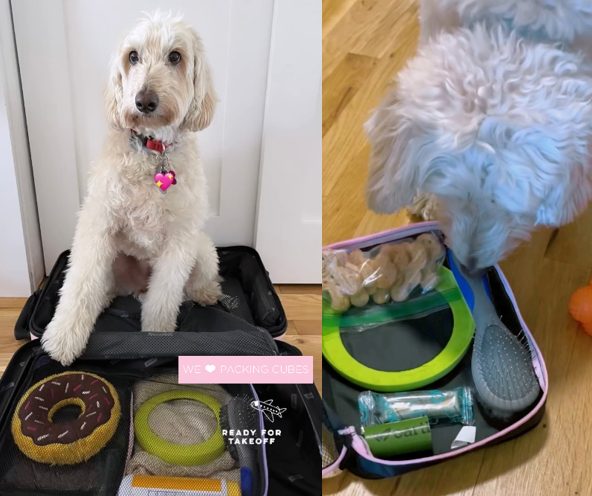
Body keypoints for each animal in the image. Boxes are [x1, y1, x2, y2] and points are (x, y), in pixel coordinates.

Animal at [42, 11, 222, 366]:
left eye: (175, 56)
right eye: (133, 56)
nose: (144, 101)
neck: (153, 151)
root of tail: (136, 286)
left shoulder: (180, 239)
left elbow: (164, 298)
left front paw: (157, 338)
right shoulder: (97, 223)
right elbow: (79, 285)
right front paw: (63, 338)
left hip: (202, 249)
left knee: (197, 281)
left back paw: (207, 293)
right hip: (112, 260)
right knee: (99, 288)